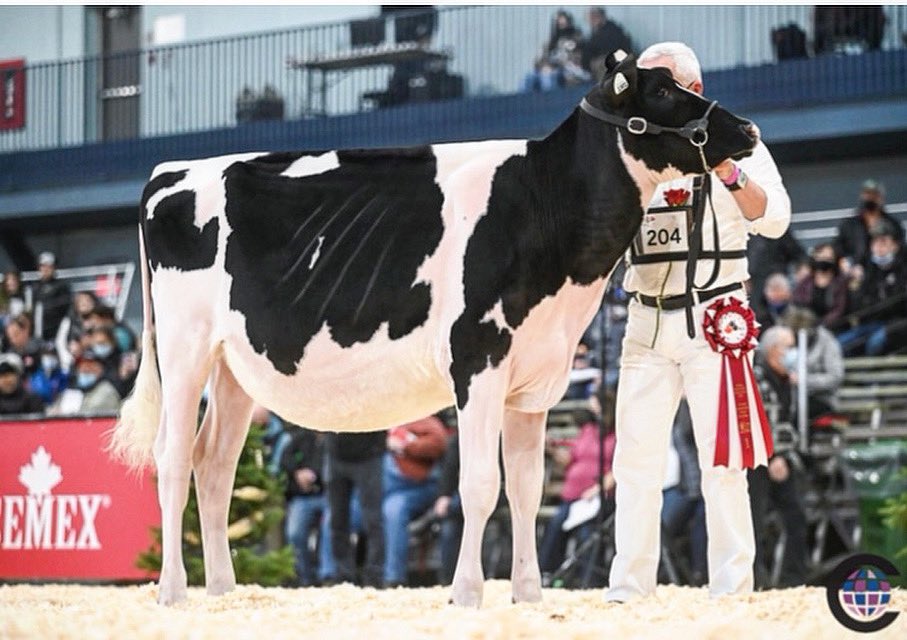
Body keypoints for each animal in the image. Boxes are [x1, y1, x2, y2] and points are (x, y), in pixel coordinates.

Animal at [109, 52, 758, 606]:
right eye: (664, 91)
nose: (749, 129)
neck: (545, 203)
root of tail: (170, 170)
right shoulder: (478, 357)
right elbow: (480, 485)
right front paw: (467, 594)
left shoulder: (537, 377)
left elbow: (527, 489)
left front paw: (528, 595)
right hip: (184, 349)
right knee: (172, 458)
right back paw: (172, 591)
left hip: (235, 365)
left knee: (214, 464)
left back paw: (222, 590)